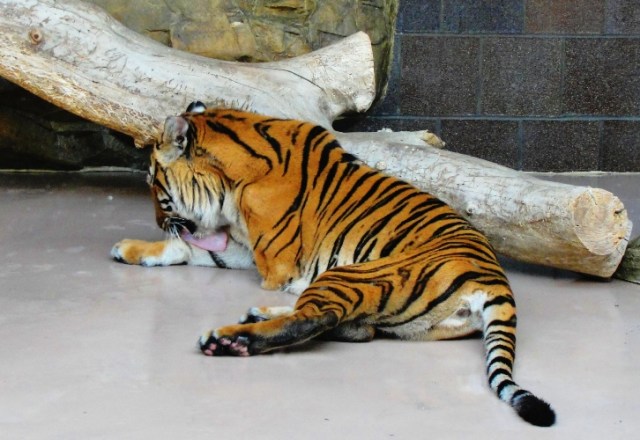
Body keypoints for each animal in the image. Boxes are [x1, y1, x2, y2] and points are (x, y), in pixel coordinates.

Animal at [111, 102, 556, 427]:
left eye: (153, 183)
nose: (157, 220)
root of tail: (494, 279)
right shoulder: (244, 247)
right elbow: (191, 250)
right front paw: (127, 248)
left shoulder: (271, 264)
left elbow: (200, 250)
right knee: (355, 327)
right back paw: (255, 315)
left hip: (350, 273)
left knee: (317, 319)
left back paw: (230, 339)